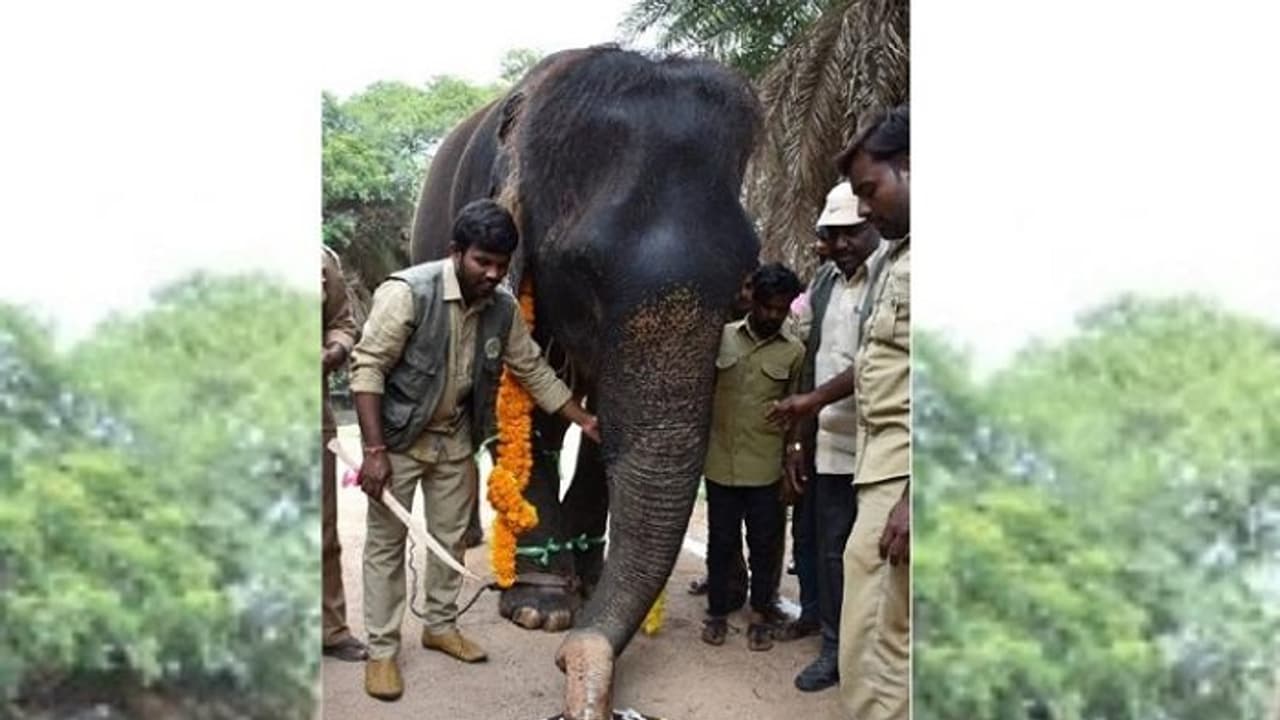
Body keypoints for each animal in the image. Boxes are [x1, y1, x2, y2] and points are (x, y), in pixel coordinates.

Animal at [410, 45, 762, 719]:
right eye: (583, 269)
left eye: (744, 272)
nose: (569, 658)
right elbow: (510, 393)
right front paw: (541, 610)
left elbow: (602, 420)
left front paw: (585, 579)